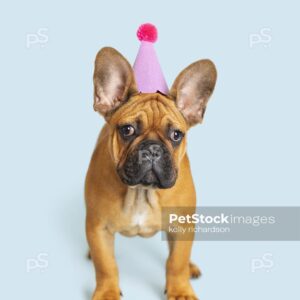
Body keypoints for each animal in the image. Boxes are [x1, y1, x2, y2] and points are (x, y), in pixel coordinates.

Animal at [85, 47, 217, 300]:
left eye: (176, 135)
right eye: (127, 130)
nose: (153, 149)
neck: (141, 192)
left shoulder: (183, 226)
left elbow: (176, 262)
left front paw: (180, 290)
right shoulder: (98, 227)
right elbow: (106, 265)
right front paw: (107, 292)